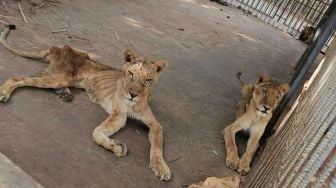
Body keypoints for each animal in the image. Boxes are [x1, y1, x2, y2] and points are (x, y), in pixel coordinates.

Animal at [0, 25, 171, 181]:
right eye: (131, 73)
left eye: (148, 80)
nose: (133, 95)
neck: (133, 104)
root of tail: (57, 48)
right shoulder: (119, 115)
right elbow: (96, 133)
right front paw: (117, 147)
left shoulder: (155, 124)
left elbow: (157, 146)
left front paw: (161, 167)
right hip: (63, 75)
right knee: (18, 78)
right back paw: (4, 92)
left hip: (68, 77)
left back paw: (64, 94)